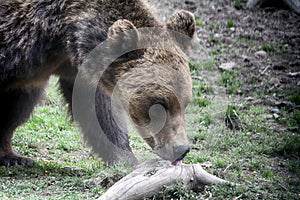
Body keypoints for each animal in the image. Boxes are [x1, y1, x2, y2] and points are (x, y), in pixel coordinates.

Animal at [0, 0, 196, 166]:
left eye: (185, 103)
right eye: (158, 105)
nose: (181, 149)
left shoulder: (81, 71)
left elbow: (99, 112)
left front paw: (125, 158)